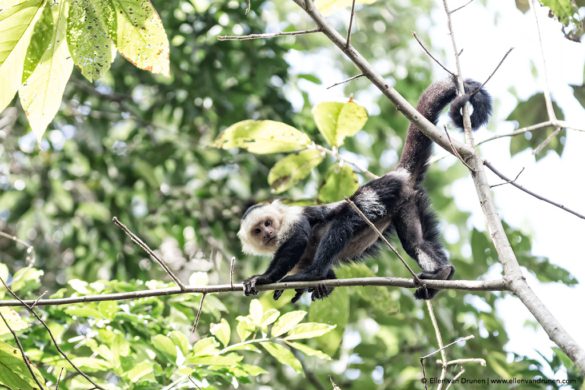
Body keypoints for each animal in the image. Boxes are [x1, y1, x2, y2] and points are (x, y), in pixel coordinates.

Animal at [236, 76, 488, 302]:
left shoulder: (291, 217)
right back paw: (441, 272)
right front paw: (319, 287)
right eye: (258, 230)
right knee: (415, 243)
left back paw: (311, 273)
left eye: (268, 223)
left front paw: (266, 278)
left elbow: (299, 237)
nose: (268, 233)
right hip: (407, 201)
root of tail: (396, 173)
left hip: (379, 190)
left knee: (345, 220)